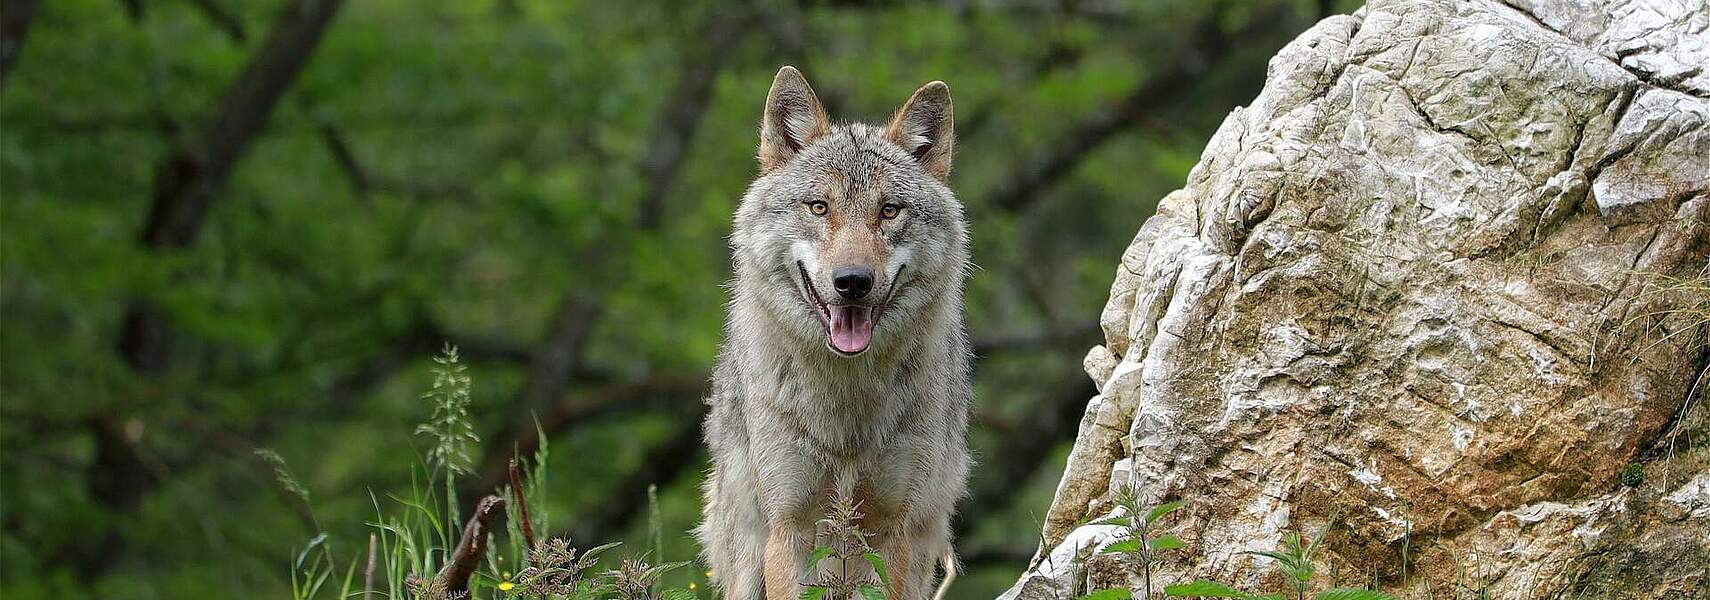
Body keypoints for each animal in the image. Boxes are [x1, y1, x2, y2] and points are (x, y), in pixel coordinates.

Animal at [690, 65, 964, 600]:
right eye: (819, 207)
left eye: (889, 211)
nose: (852, 281)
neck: (846, 411)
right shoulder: (789, 527)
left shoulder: (890, 529)